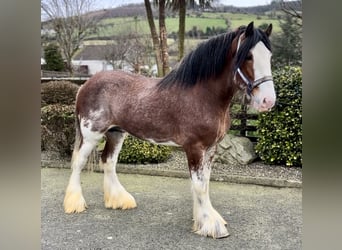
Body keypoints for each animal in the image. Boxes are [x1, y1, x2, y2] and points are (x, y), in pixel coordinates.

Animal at [64, 22, 276, 239]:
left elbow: (205, 182)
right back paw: (74, 204)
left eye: (269, 55)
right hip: (91, 135)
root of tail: (85, 85)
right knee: (78, 163)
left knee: (108, 161)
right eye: (248, 56)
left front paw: (201, 220)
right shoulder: (194, 147)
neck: (202, 95)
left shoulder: (210, 149)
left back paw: (119, 200)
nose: (268, 100)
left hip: (116, 133)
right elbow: (199, 185)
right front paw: (211, 225)